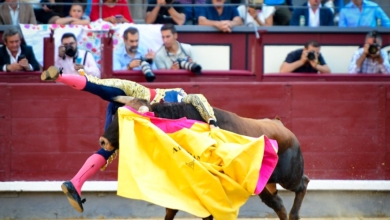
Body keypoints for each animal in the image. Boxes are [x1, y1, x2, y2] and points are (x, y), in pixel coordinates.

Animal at [101, 102, 310, 220]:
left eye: (124, 121)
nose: (102, 141)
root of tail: (279, 125)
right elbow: (171, 210)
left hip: (289, 177)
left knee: (303, 183)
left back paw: (295, 215)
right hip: (266, 185)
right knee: (278, 203)